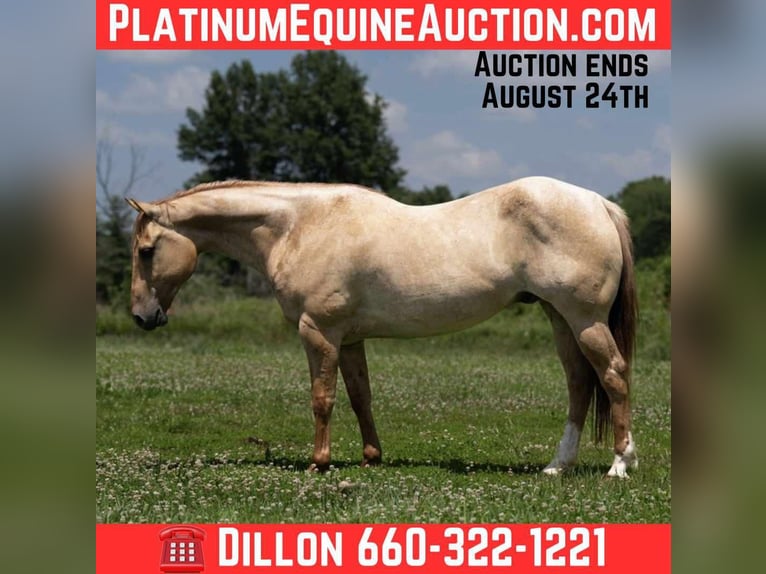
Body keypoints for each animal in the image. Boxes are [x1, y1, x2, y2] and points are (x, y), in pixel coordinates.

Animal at [127, 177, 639, 478]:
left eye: (147, 251)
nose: (141, 316)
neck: (298, 226)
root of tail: (598, 202)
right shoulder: (350, 338)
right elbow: (360, 397)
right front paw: (371, 457)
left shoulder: (319, 332)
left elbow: (323, 398)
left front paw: (319, 463)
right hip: (560, 318)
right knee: (579, 384)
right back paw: (558, 466)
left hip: (583, 319)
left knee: (613, 376)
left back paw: (620, 463)